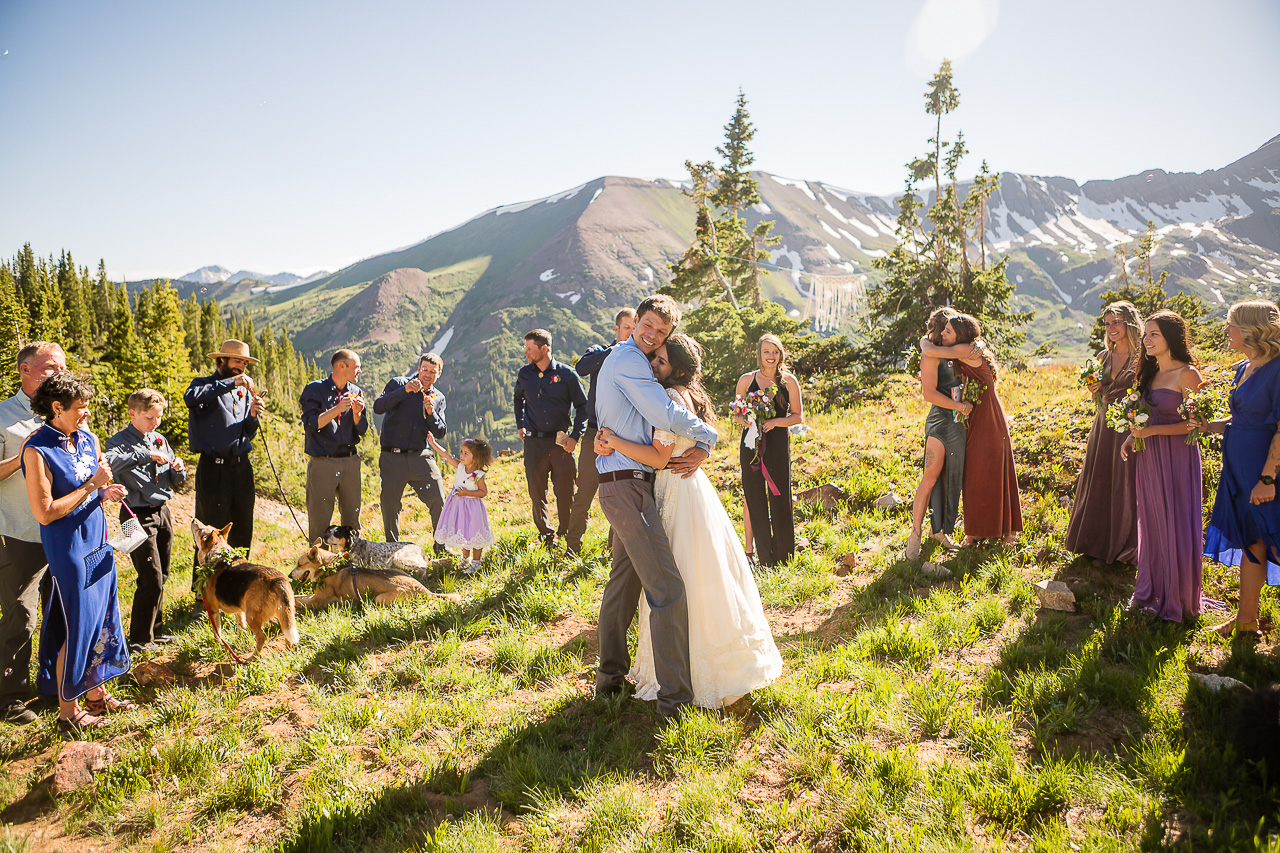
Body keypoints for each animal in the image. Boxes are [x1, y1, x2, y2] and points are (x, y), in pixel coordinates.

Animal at [192, 514, 299, 660]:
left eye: (200, 530)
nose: (193, 519)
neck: (217, 553)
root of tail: (277, 579)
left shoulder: (213, 610)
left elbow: (217, 634)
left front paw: (217, 647)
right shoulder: (239, 610)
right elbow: (241, 627)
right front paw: (240, 640)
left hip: (252, 617)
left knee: (261, 638)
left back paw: (252, 658)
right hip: (285, 613)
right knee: (286, 636)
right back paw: (286, 653)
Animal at [291, 540, 465, 607]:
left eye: (300, 564)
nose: (290, 576)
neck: (328, 567)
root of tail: (423, 590)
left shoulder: (317, 601)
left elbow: (299, 602)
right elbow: (297, 597)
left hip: (379, 598)